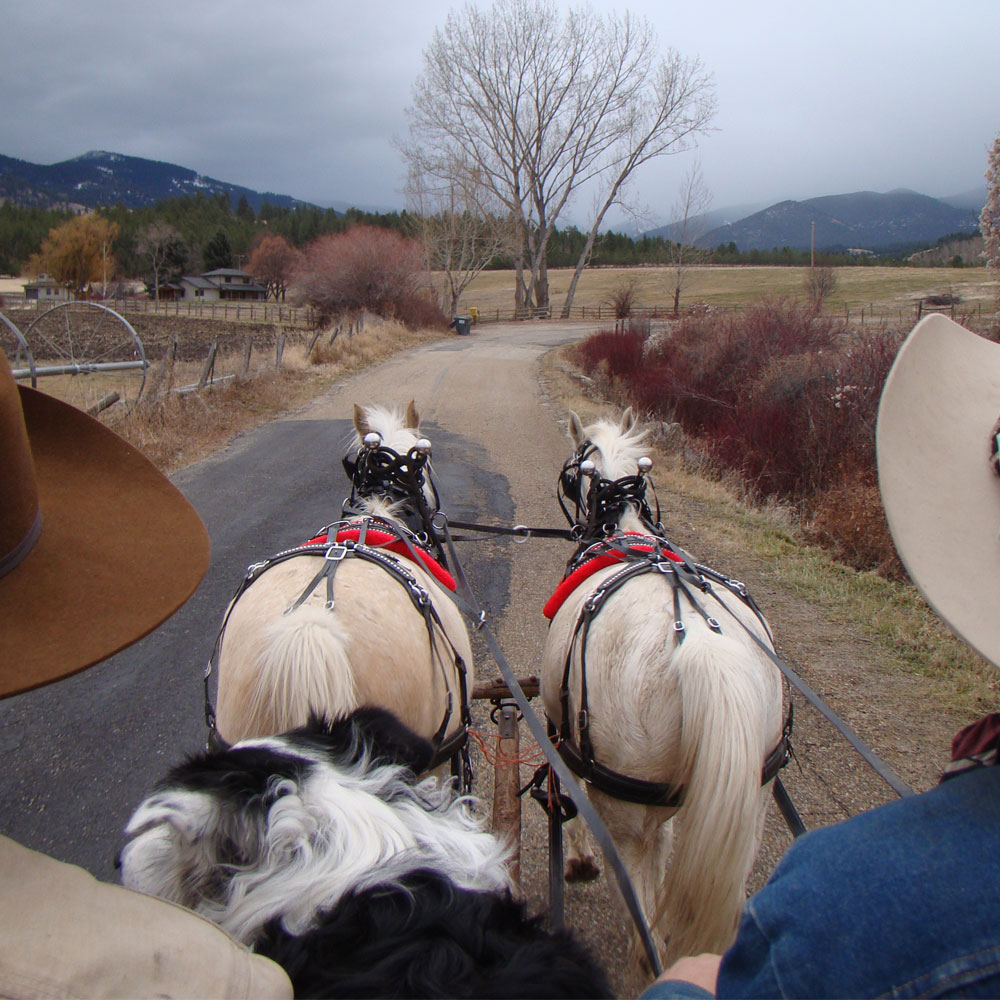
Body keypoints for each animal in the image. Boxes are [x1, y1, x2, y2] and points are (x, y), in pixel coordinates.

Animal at [540, 406, 788, 968]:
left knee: (645, 931)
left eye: (569, 474)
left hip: (624, 814)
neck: (624, 532)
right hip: (750, 809)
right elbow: (669, 838)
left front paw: (579, 858)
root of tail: (701, 644)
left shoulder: (564, 732)